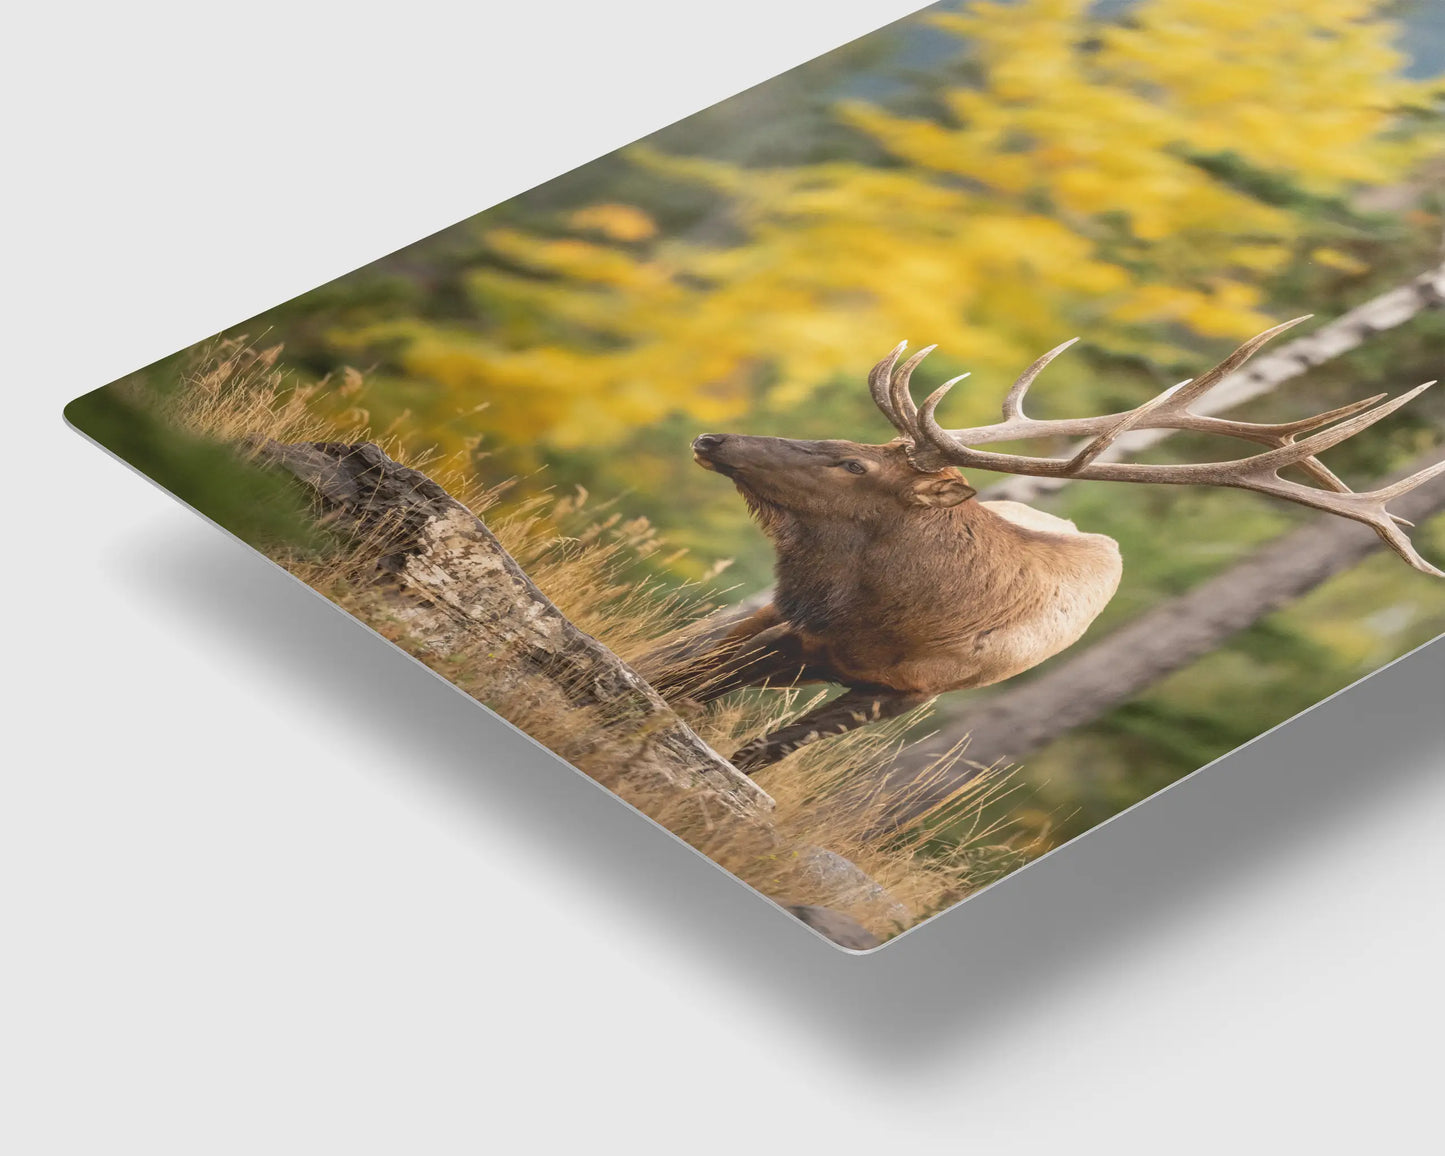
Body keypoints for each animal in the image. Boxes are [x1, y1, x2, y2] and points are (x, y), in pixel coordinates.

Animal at [643, 317, 1443, 773]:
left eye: (851, 464)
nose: (713, 438)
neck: (887, 620)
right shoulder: (794, 629)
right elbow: (686, 682)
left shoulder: (902, 693)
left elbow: (756, 752)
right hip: (777, 626)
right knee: (693, 651)